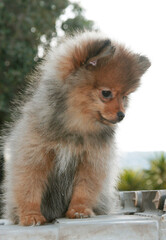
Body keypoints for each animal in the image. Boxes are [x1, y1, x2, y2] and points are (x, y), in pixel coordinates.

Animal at [1, 31, 151, 225]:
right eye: (106, 93)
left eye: (124, 97)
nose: (121, 115)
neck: (75, 128)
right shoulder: (33, 156)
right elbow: (29, 187)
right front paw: (31, 215)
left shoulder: (92, 161)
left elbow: (84, 189)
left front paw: (79, 210)